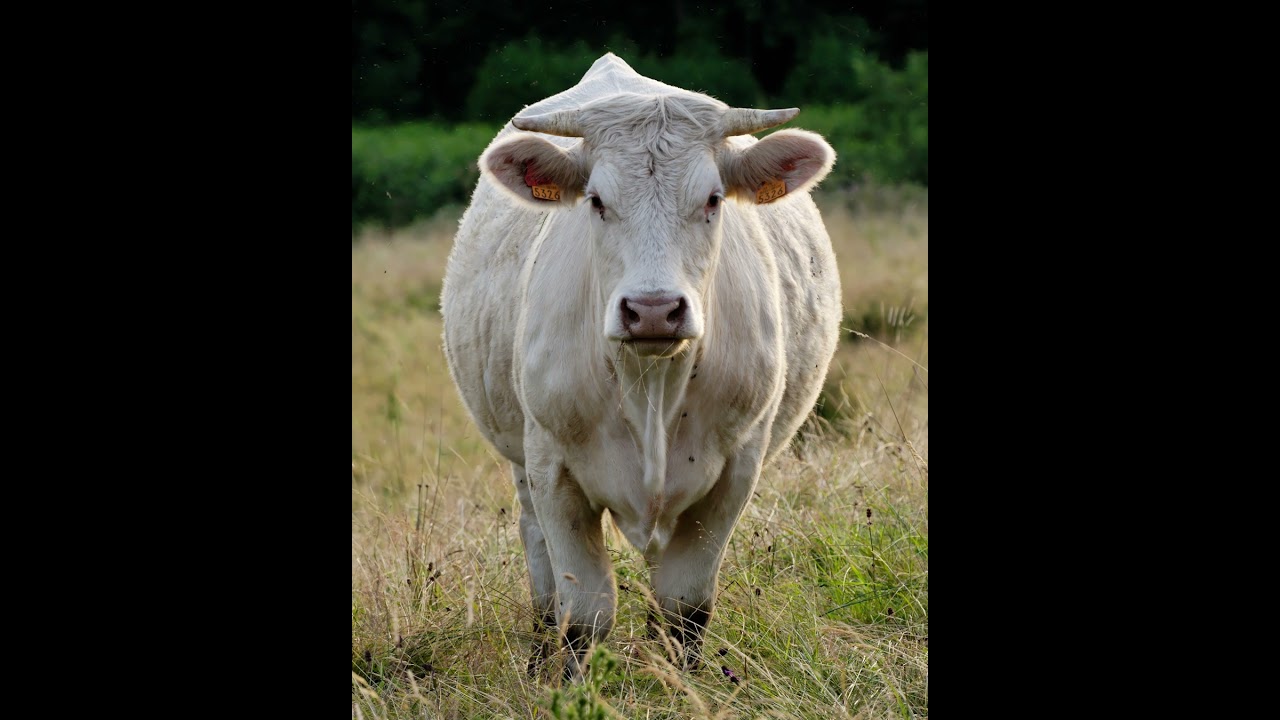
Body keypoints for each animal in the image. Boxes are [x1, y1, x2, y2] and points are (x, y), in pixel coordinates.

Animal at [442, 53, 841, 678]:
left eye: (714, 199)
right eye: (596, 201)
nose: (653, 309)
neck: (650, 388)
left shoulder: (735, 473)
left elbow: (684, 608)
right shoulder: (553, 470)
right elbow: (585, 614)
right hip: (522, 461)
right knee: (541, 569)